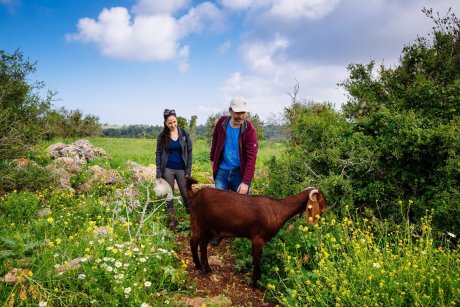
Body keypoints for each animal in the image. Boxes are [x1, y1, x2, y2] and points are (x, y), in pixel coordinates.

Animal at [185, 177, 328, 288]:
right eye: (321, 199)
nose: (326, 209)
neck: (277, 210)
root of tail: (194, 195)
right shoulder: (257, 239)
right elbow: (256, 260)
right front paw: (255, 284)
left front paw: (258, 280)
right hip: (199, 223)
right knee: (193, 242)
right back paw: (198, 266)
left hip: (210, 228)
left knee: (202, 244)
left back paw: (207, 269)